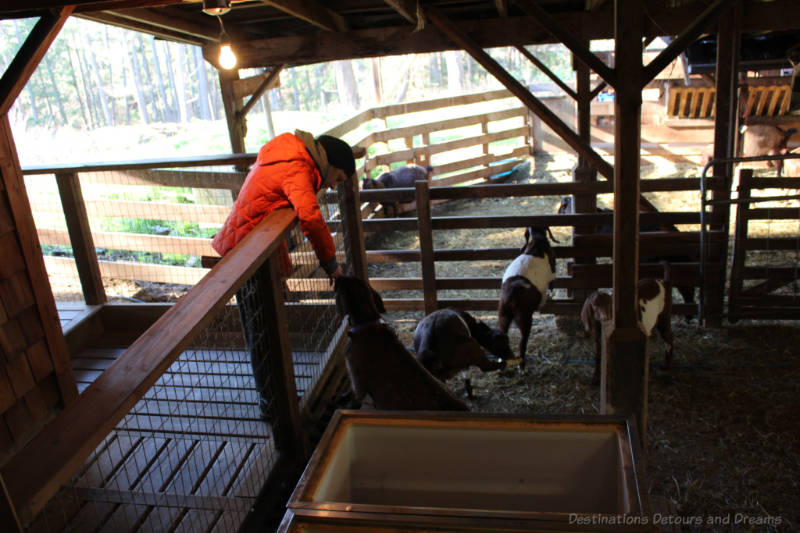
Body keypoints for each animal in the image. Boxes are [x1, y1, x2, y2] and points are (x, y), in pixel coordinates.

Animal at [496, 227, 560, 368]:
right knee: (522, 343)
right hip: (524, 319)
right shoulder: (553, 274)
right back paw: (522, 367)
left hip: (503, 315)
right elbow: (551, 285)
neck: (537, 242)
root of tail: (510, 296)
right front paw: (548, 297)